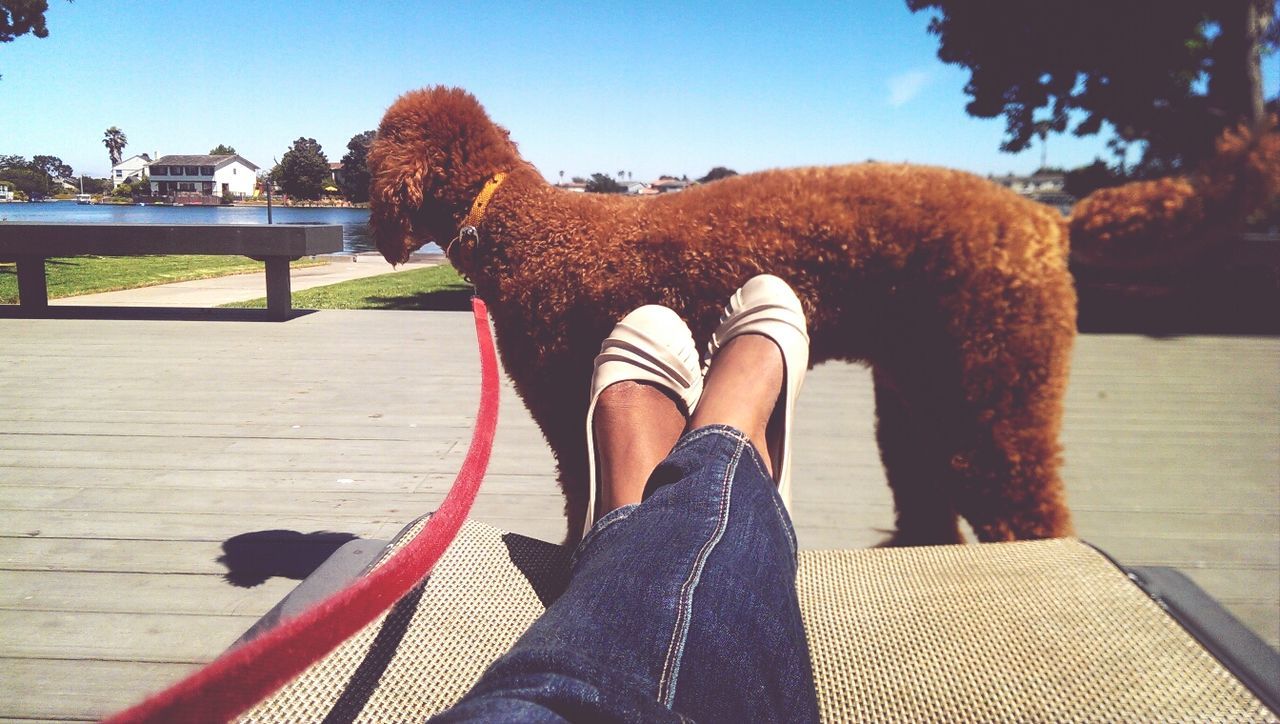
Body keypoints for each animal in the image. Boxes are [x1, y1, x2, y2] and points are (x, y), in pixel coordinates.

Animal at [371, 85, 1080, 544]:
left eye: (369, 145)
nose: (349, 155)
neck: (524, 228)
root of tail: (1049, 222)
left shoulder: (565, 410)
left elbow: (579, 498)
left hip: (991, 392)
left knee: (1026, 515)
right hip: (917, 397)